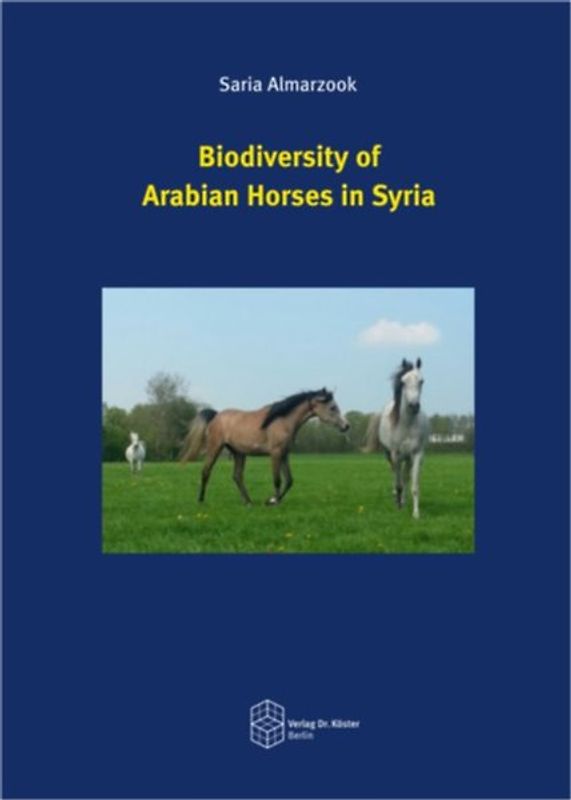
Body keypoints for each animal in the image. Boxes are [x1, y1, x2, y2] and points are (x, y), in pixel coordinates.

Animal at [180, 388, 350, 505]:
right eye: (332, 407)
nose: (346, 426)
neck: (282, 420)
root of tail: (216, 415)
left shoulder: (284, 454)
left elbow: (289, 480)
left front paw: (272, 500)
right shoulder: (275, 453)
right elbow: (277, 480)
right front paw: (274, 501)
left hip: (239, 453)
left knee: (237, 476)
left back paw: (248, 502)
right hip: (215, 448)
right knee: (206, 471)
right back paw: (201, 500)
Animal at [364, 359, 429, 518]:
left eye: (421, 381)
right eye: (403, 381)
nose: (413, 406)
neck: (407, 424)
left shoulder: (417, 454)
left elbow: (414, 485)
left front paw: (416, 513)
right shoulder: (396, 454)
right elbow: (398, 483)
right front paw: (398, 505)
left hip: (407, 458)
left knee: (405, 477)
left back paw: (404, 500)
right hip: (390, 455)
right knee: (395, 474)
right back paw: (396, 498)